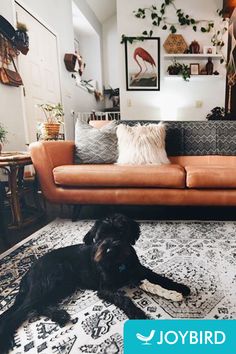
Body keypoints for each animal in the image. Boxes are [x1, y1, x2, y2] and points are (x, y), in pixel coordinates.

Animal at [0, 214, 189, 352]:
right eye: (100, 236)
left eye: (121, 232)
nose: (110, 249)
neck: (119, 264)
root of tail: (28, 272)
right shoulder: (105, 289)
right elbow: (124, 299)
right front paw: (136, 313)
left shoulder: (140, 271)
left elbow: (160, 277)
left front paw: (181, 287)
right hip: (50, 281)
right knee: (19, 312)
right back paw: (6, 339)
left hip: (63, 286)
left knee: (38, 306)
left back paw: (60, 315)